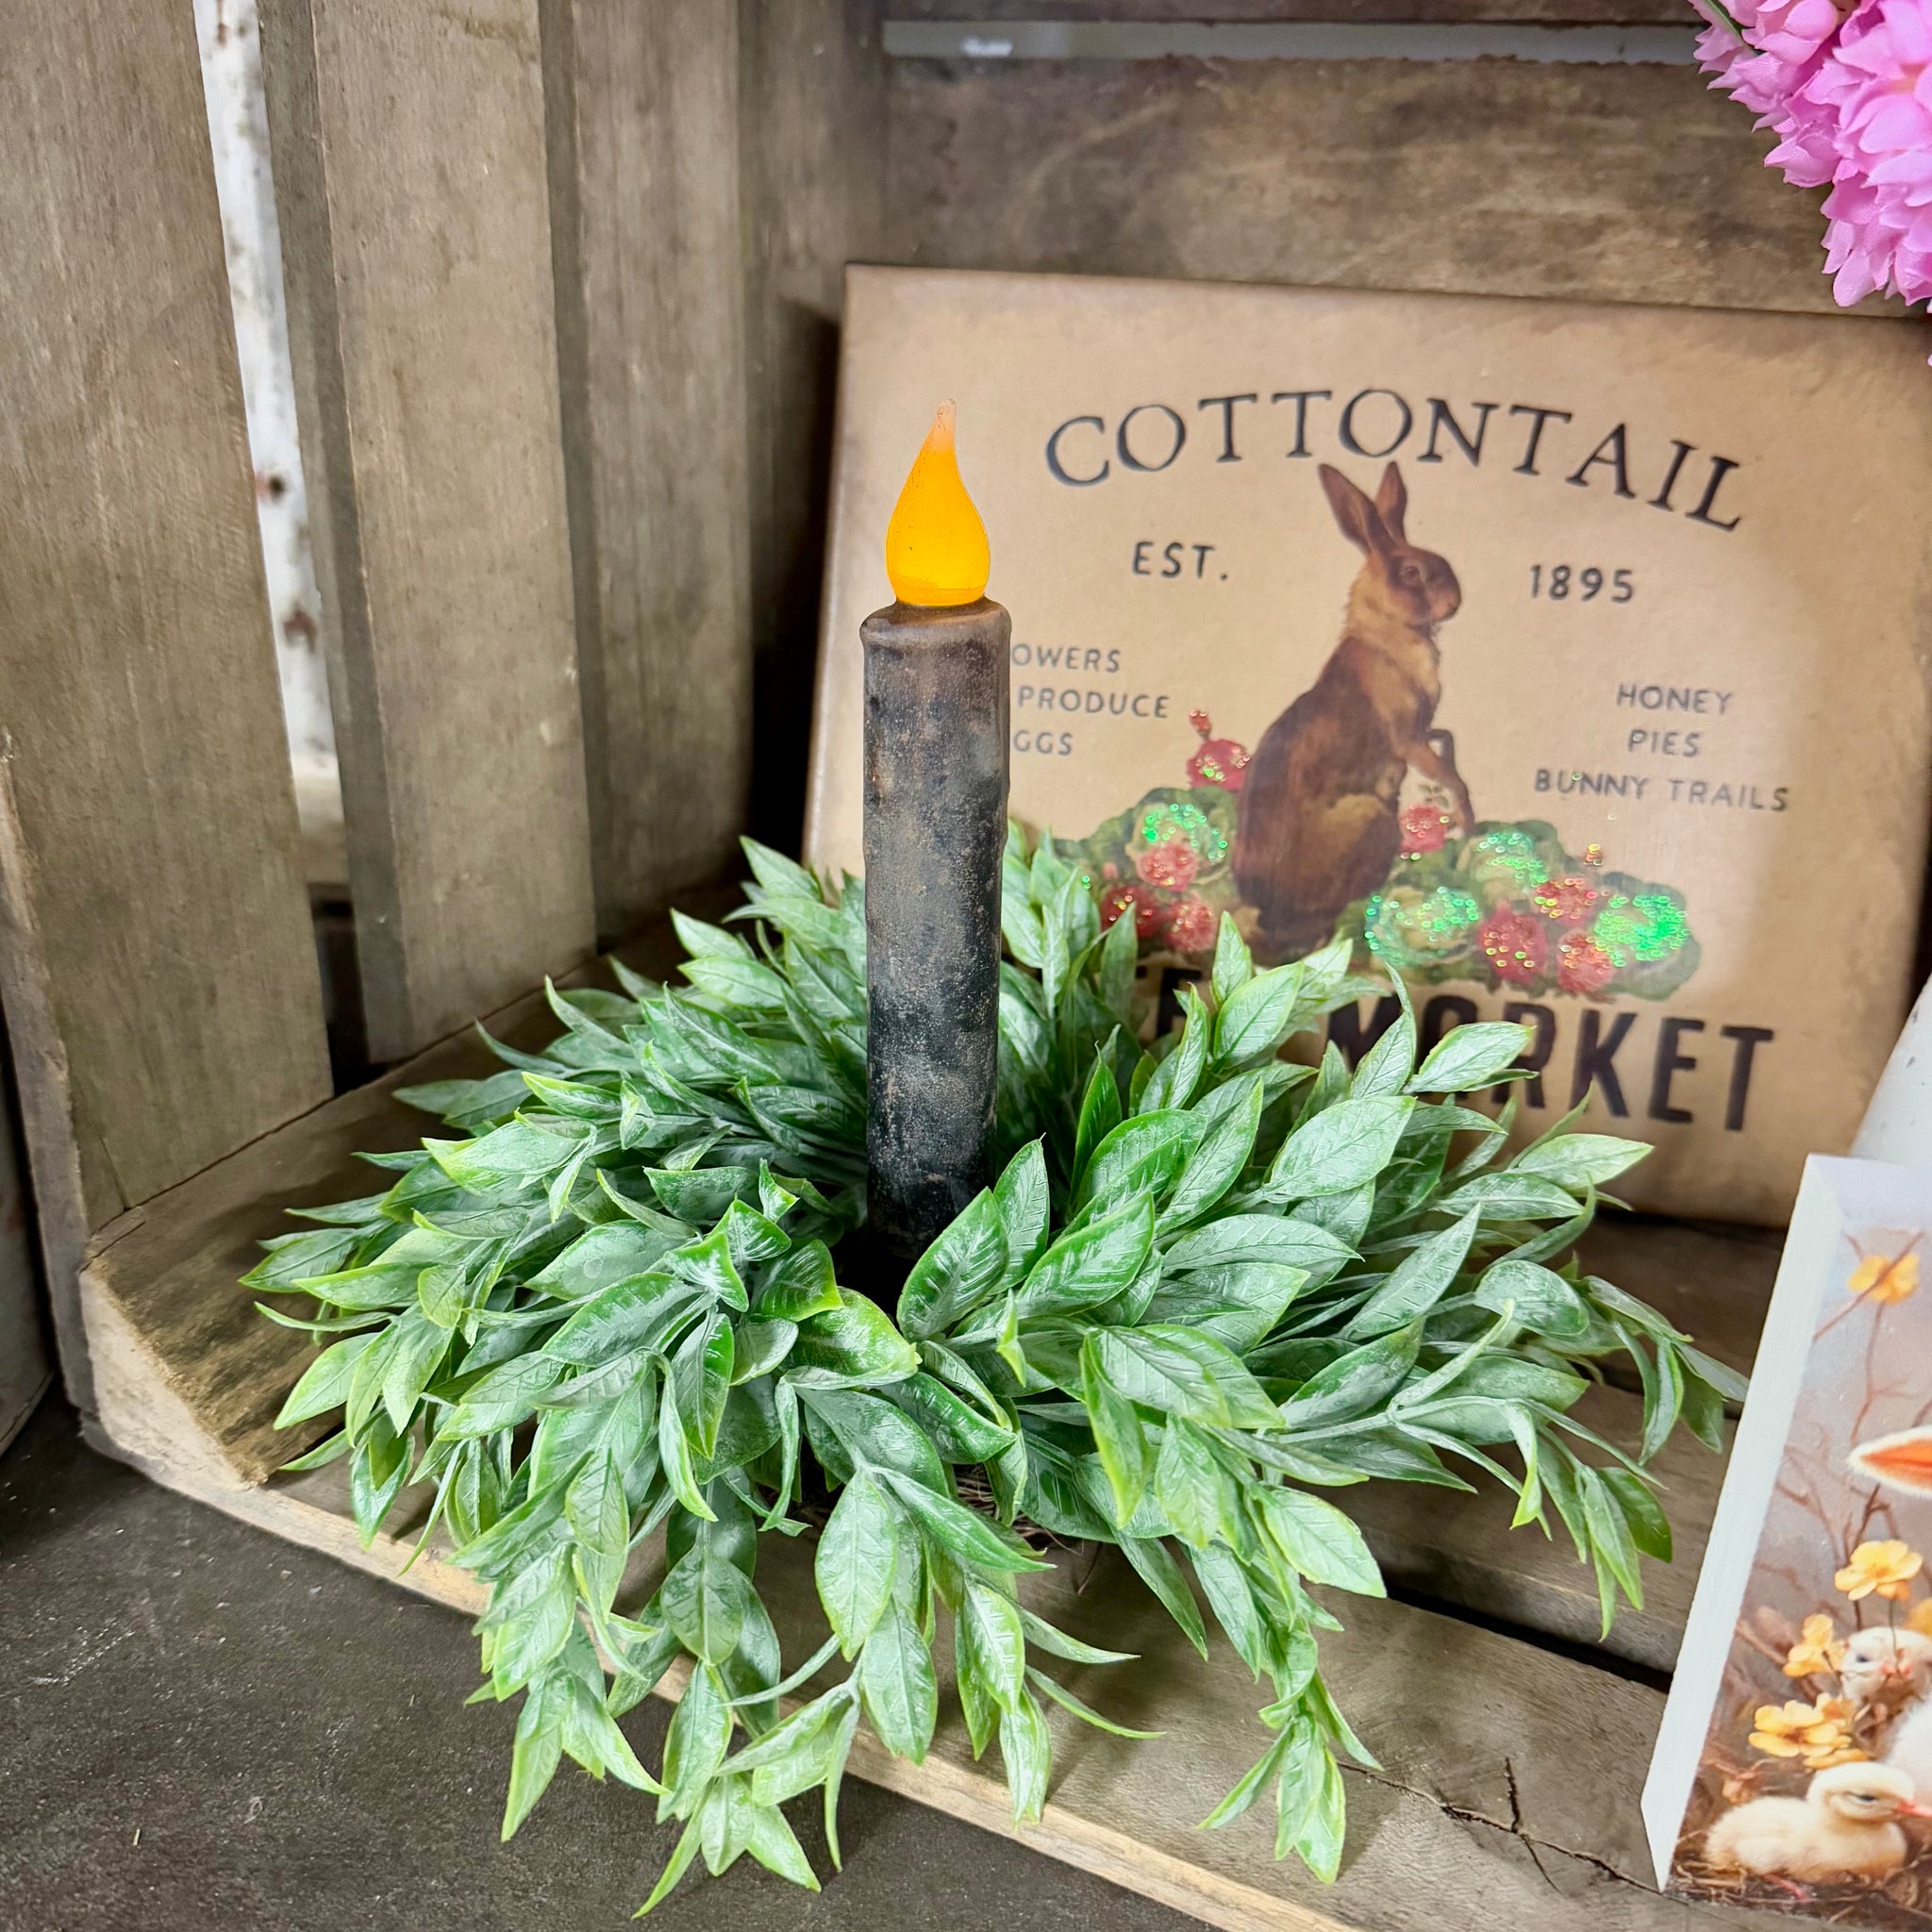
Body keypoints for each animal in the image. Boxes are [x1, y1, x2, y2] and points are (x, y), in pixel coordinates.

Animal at [1236, 461, 1460, 958]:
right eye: (1411, 572)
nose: (1456, 602)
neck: (1386, 637)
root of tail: (1272, 915)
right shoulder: (1407, 738)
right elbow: (1445, 774)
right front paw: (1466, 815)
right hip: (1374, 821)